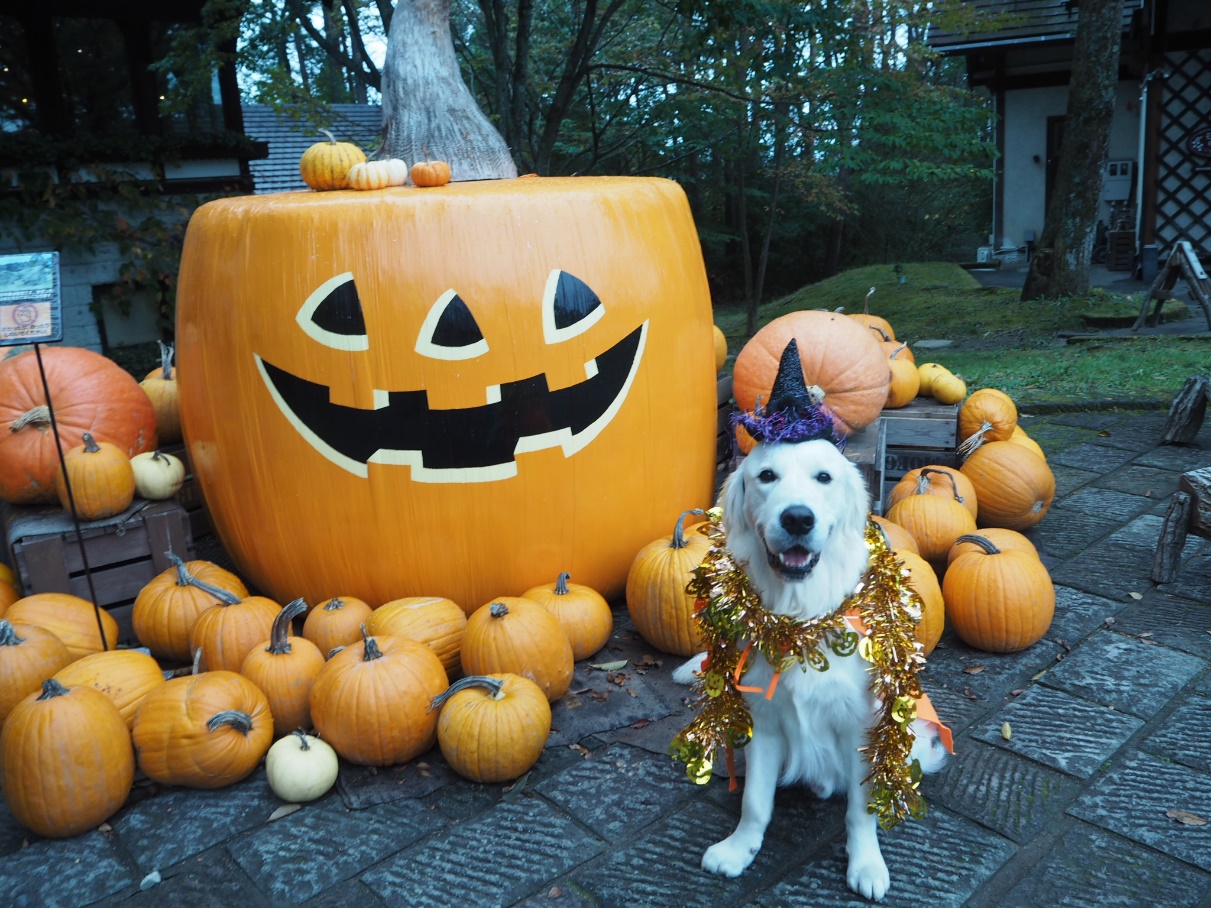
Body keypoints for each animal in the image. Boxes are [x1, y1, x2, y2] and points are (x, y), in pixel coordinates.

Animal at [673, 438, 944, 900]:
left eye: (824, 477)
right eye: (766, 476)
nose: (798, 518)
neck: (799, 619)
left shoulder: (862, 728)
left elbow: (861, 811)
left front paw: (866, 865)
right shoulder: (762, 721)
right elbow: (755, 802)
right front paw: (739, 849)